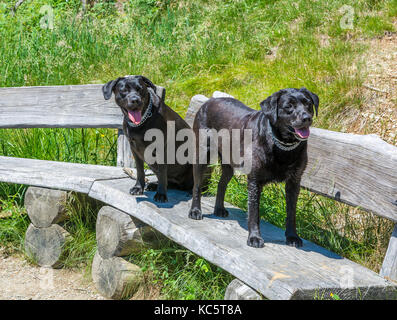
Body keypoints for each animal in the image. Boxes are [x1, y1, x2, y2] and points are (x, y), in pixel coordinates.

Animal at [188, 89, 318, 249]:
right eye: (288, 106)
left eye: (308, 104)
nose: (307, 118)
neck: (282, 146)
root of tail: (208, 101)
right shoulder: (255, 181)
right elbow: (254, 212)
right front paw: (254, 237)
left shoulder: (294, 182)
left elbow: (291, 212)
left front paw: (292, 236)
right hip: (201, 155)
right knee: (197, 185)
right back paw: (195, 210)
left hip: (229, 164)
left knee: (221, 184)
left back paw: (219, 209)